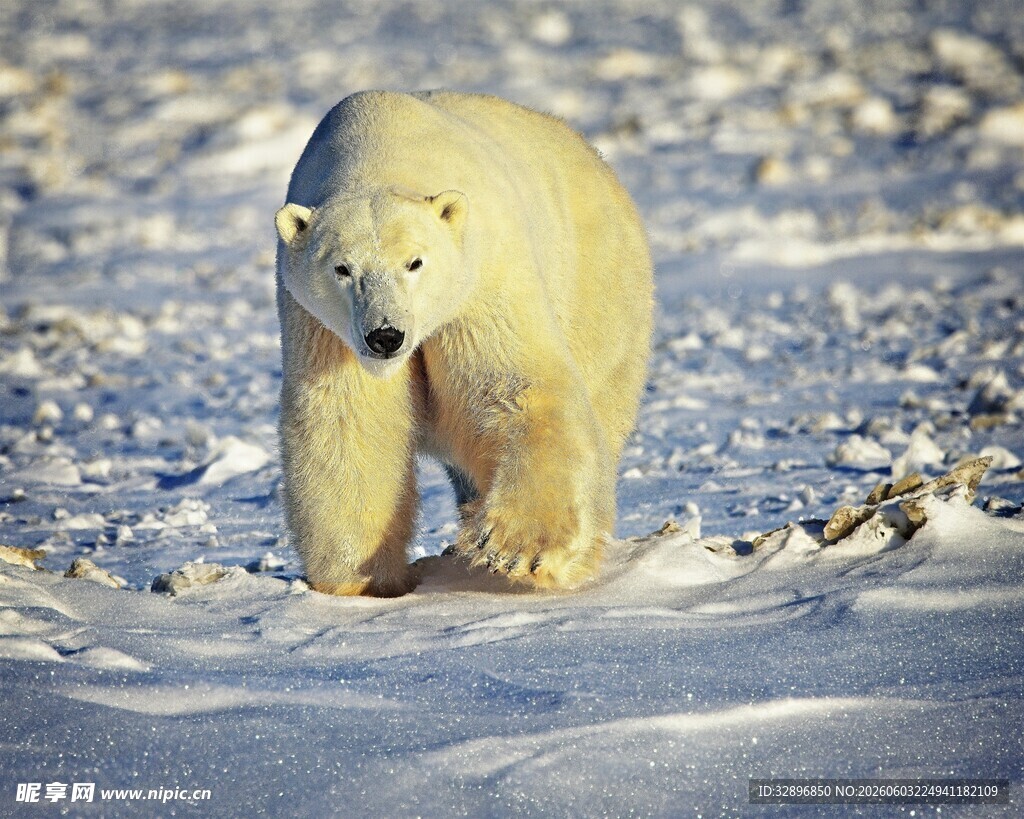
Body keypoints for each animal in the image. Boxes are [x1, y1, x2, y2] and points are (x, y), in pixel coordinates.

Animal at [275, 90, 653, 596]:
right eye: (342, 269)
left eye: (415, 262)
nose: (385, 336)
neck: (379, 151)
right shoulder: (320, 326)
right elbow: (349, 419)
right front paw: (363, 578)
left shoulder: (481, 278)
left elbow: (513, 385)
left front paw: (517, 548)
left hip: (600, 290)